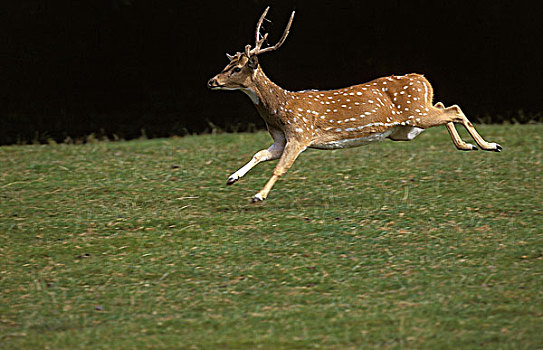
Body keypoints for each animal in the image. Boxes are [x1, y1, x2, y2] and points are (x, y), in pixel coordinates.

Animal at [207, 7, 502, 202]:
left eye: (236, 68)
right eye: (227, 64)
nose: (212, 81)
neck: (279, 109)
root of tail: (422, 79)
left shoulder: (300, 133)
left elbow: (281, 167)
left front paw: (258, 195)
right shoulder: (281, 138)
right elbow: (259, 153)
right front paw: (232, 178)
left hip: (415, 114)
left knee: (454, 109)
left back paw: (490, 145)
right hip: (406, 127)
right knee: (443, 106)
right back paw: (467, 146)